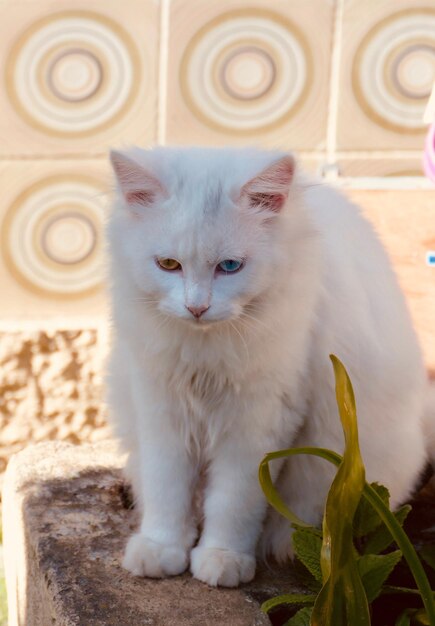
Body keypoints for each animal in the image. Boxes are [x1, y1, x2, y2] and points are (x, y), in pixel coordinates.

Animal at [107, 145, 430, 584]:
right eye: (169, 265)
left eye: (230, 267)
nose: (196, 307)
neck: (205, 353)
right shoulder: (161, 409)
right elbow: (166, 491)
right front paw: (162, 550)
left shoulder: (257, 423)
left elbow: (234, 503)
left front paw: (222, 558)